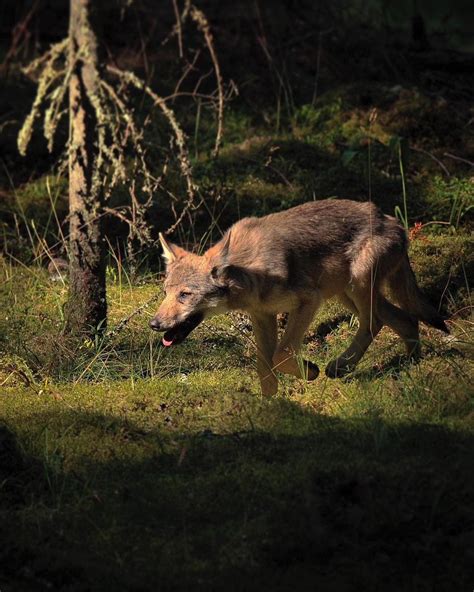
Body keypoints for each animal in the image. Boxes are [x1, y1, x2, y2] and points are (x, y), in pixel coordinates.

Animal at [150, 201, 446, 396]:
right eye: (166, 293)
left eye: (185, 295)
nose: (154, 324)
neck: (251, 273)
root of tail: (393, 221)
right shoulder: (263, 316)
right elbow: (264, 368)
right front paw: (272, 410)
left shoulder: (308, 301)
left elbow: (281, 355)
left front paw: (310, 371)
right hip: (347, 294)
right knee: (404, 320)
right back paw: (411, 364)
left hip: (357, 287)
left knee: (374, 323)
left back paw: (341, 366)